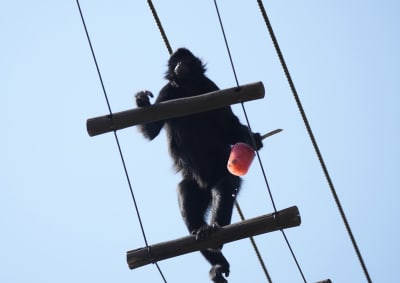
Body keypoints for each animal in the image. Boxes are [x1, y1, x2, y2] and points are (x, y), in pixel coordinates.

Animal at [136, 48, 264, 283]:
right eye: (175, 62)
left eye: (184, 60)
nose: (179, 65)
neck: (189, 88)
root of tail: (206, 183)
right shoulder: (167, 91)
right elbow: (151, 129)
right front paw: (142, 101)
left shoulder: (210, 87)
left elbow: (230, 125)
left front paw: (253, 139)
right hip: (195, 186)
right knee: (186, 196)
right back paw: (212, 249)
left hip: (222, 170)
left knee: (225, 185)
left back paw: (214, 231)